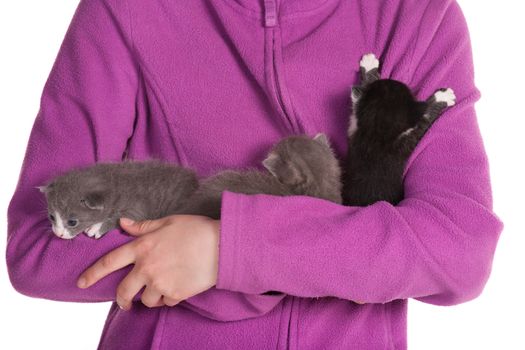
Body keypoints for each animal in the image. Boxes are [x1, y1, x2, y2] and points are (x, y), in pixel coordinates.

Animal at [344, 53, 454, 206]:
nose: (393, 79)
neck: (378, 135)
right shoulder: (406, 141)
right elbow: (425, 118)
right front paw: (442, 97)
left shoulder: (356, 129)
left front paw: (369, 66)